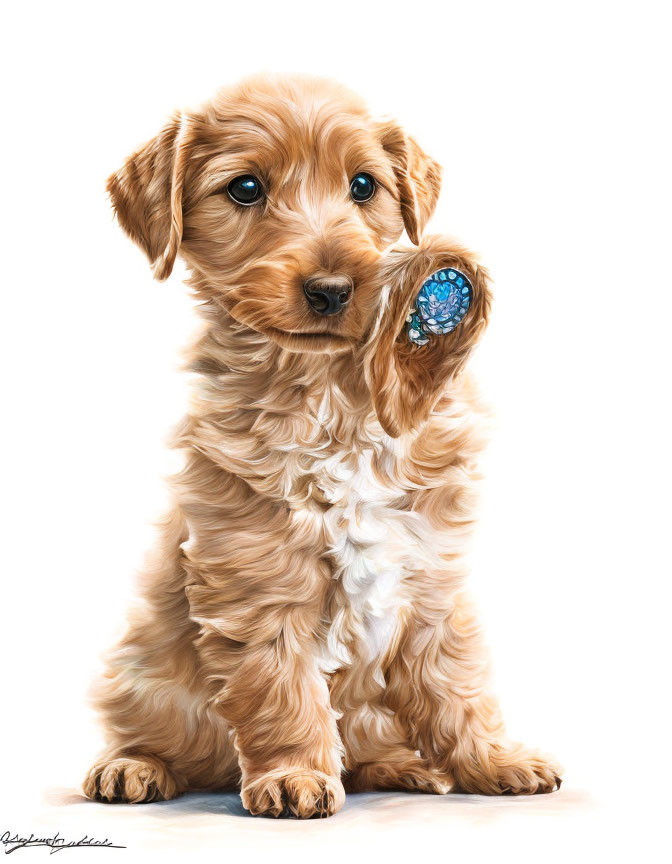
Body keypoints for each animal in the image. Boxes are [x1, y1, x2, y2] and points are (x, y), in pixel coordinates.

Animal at [86, 76, 564, 816]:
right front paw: (292, 774)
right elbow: (279, 684)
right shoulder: (257, 577)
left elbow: (457, 680)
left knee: (371, 737)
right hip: (144, 675)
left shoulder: (433, 574)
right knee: (151, 729)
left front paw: (493, 758)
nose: (334, 291)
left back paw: (398, 765)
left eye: (363, 185)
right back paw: (132, 766)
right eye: (245, 188)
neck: (330, 399)